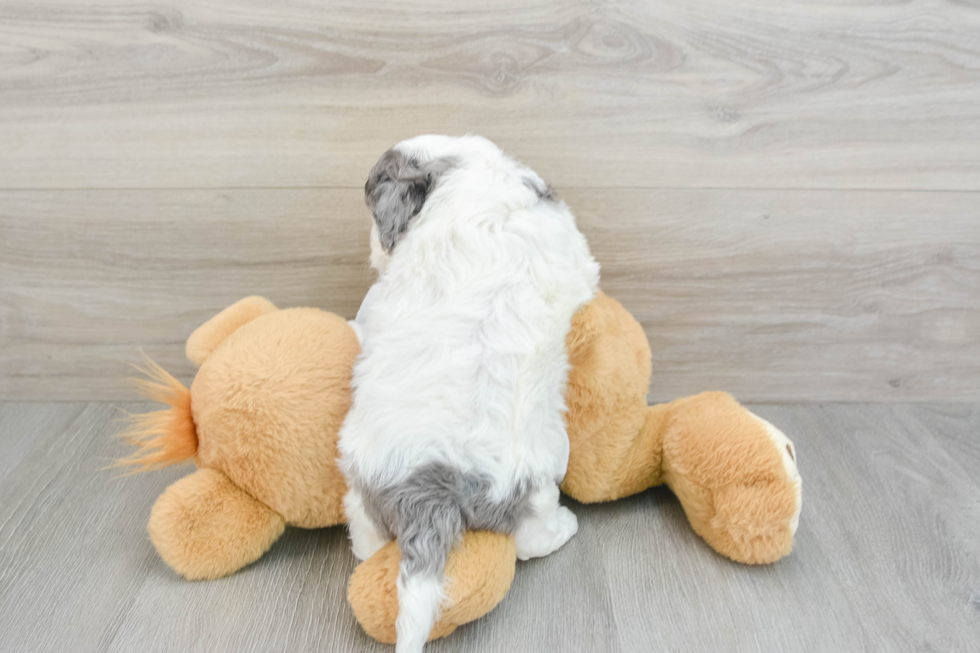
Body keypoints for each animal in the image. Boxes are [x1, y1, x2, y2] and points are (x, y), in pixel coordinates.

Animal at [338, 134, 596, 652]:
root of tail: (434, 484)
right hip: (538, 472)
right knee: (531, 539)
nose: (377, 248)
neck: (470, 175)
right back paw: (564, 528)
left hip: (364, 483)